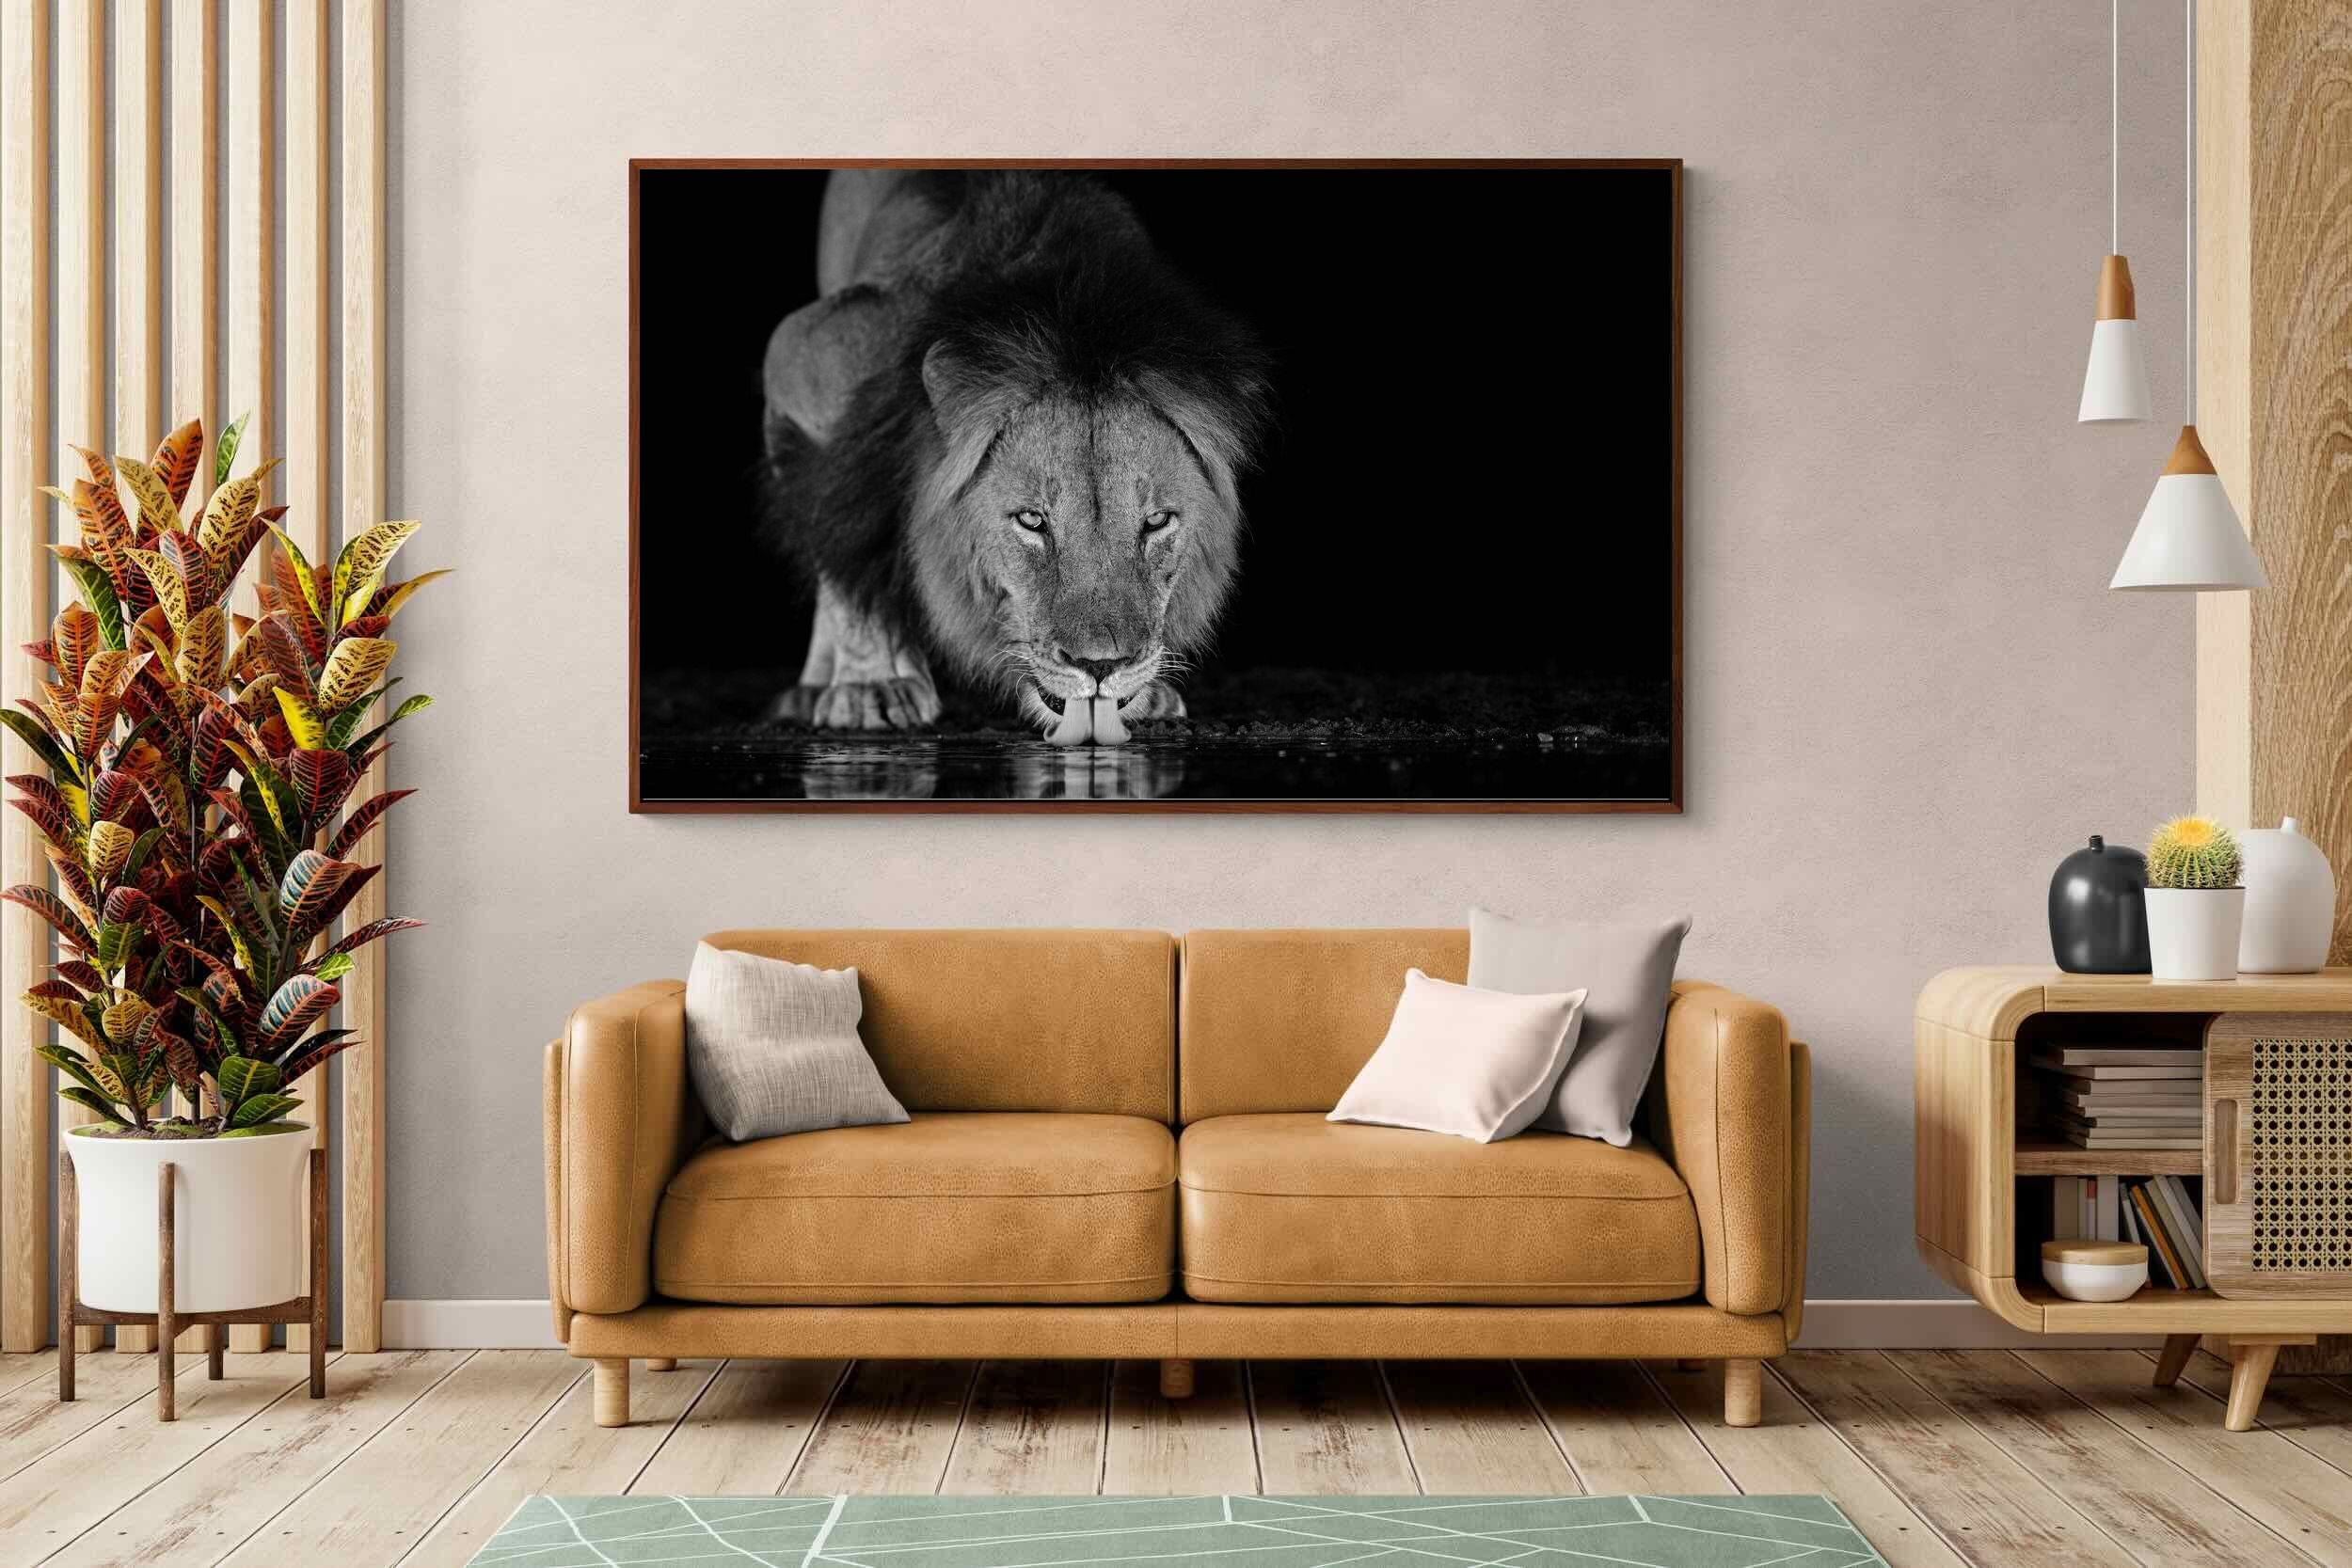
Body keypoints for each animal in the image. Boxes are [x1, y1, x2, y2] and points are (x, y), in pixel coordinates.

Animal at [757, 171, 1270, 745]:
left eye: (1157, 521)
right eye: (1031, 520)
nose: (1101, 666)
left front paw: (1149, 691)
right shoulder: (804, 356)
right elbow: (845, 534)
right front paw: (871, 686)